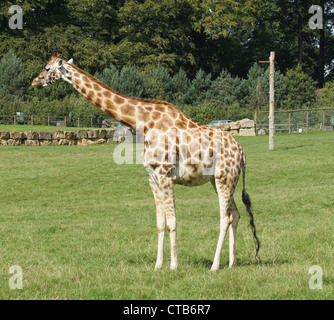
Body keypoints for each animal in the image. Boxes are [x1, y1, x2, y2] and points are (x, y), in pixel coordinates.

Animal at [32, 50, 260, 270]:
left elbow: (172, 222)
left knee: (225, 217)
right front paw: (158, 265)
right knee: (236, 214)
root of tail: (242, 153)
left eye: (47, 68)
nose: (35, 82)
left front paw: (174, 266)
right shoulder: (152, 177)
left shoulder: (165, 174)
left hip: (224, 178)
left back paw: (214, 266)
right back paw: (231, 263)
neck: (143, 123)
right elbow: (160, 222)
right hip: (220, 180)